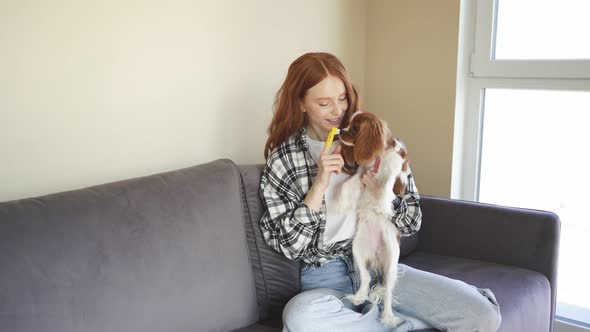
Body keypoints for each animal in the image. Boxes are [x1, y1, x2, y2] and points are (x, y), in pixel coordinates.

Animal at [332, 111, 412, 326]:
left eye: (354, 128)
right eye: (348, 124)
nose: (341, 131)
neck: (380, 155)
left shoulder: (394, 172)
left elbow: (385, 188)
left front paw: (383, 206)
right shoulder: (362, 173)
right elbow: (347, 185)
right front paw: (341, 203)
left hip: (391, 262)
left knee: (388, 293)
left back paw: (388, 317)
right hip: (357, 249)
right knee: (366, 277)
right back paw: (359, 297)